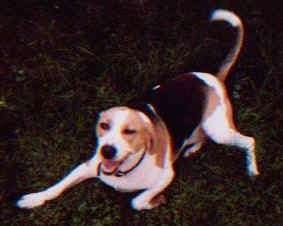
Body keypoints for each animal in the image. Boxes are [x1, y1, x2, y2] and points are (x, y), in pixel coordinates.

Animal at [15, 8, 260, 210]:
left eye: (130, 132)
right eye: (104, 126)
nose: (107, 151)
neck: (124, 169)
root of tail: (213, 77)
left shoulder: (166, 176)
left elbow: (136, 201)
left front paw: (153, 202)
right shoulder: (87, 166)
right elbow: (57, 186)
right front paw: (35, 198)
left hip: (218, 129)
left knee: (248, 140)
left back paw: (252, 169)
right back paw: (192, 148)